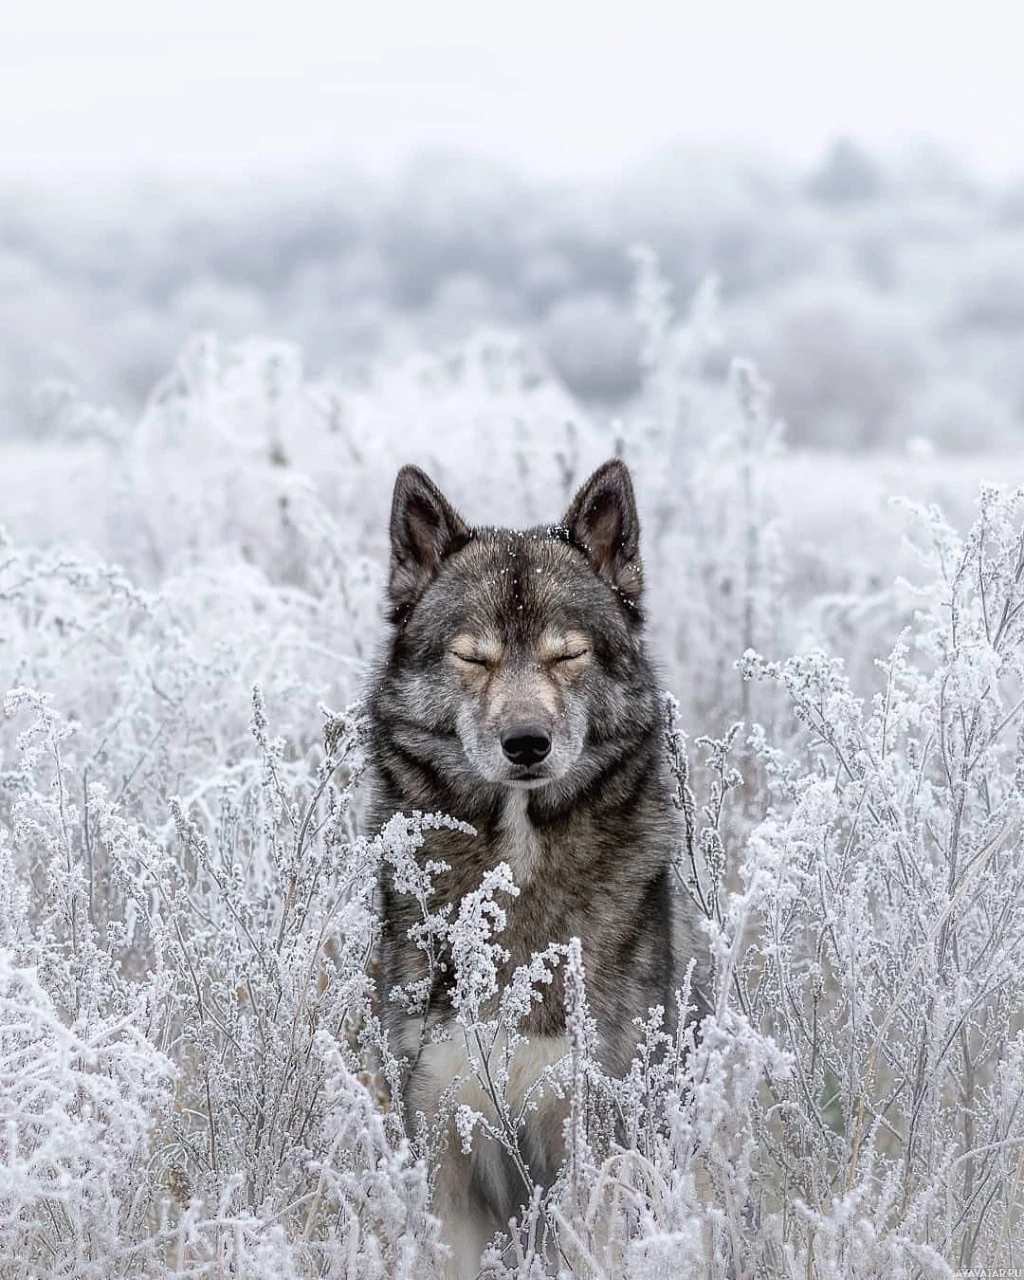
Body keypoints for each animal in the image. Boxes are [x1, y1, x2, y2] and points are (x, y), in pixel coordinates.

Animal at [368, 463, 711, 1280]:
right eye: (474, 656)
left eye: (566, 654)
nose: (527, 742)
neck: (518, 869)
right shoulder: (442, 1145)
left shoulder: (591, 1141)